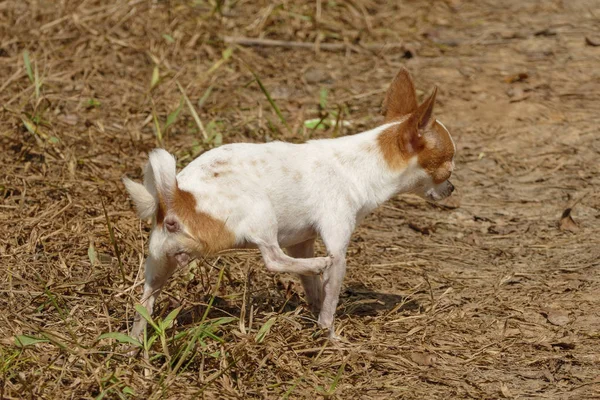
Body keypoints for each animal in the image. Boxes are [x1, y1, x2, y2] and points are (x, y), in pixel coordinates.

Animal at [124, 68, 458, 340]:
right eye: (448, 168)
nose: (452, 188)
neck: (363, 163)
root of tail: (177, 196)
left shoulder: (302, 242)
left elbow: (314, 291)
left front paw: (314, 313)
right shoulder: (338, 244)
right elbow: (330, 296)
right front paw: (330, 335)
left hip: (159, 263)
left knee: (145, 302)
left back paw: (136, 346)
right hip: (260, 211)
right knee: (273, 258)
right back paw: (318, 265)